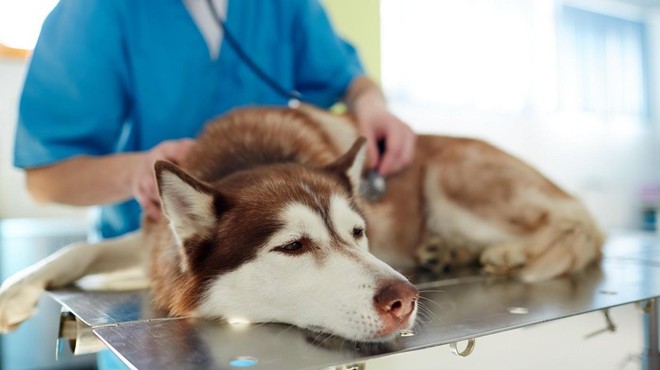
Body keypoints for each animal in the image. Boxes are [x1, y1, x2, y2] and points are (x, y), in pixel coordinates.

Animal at [0, 105, 600, 342]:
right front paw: (15, 292)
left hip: (455, 178)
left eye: (357, 233)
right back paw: (450, 252)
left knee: (576, 225)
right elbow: (76, 251)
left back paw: (507, 254)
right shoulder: (154, 240)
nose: (405, 299)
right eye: (292, 246)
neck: (251, 156)